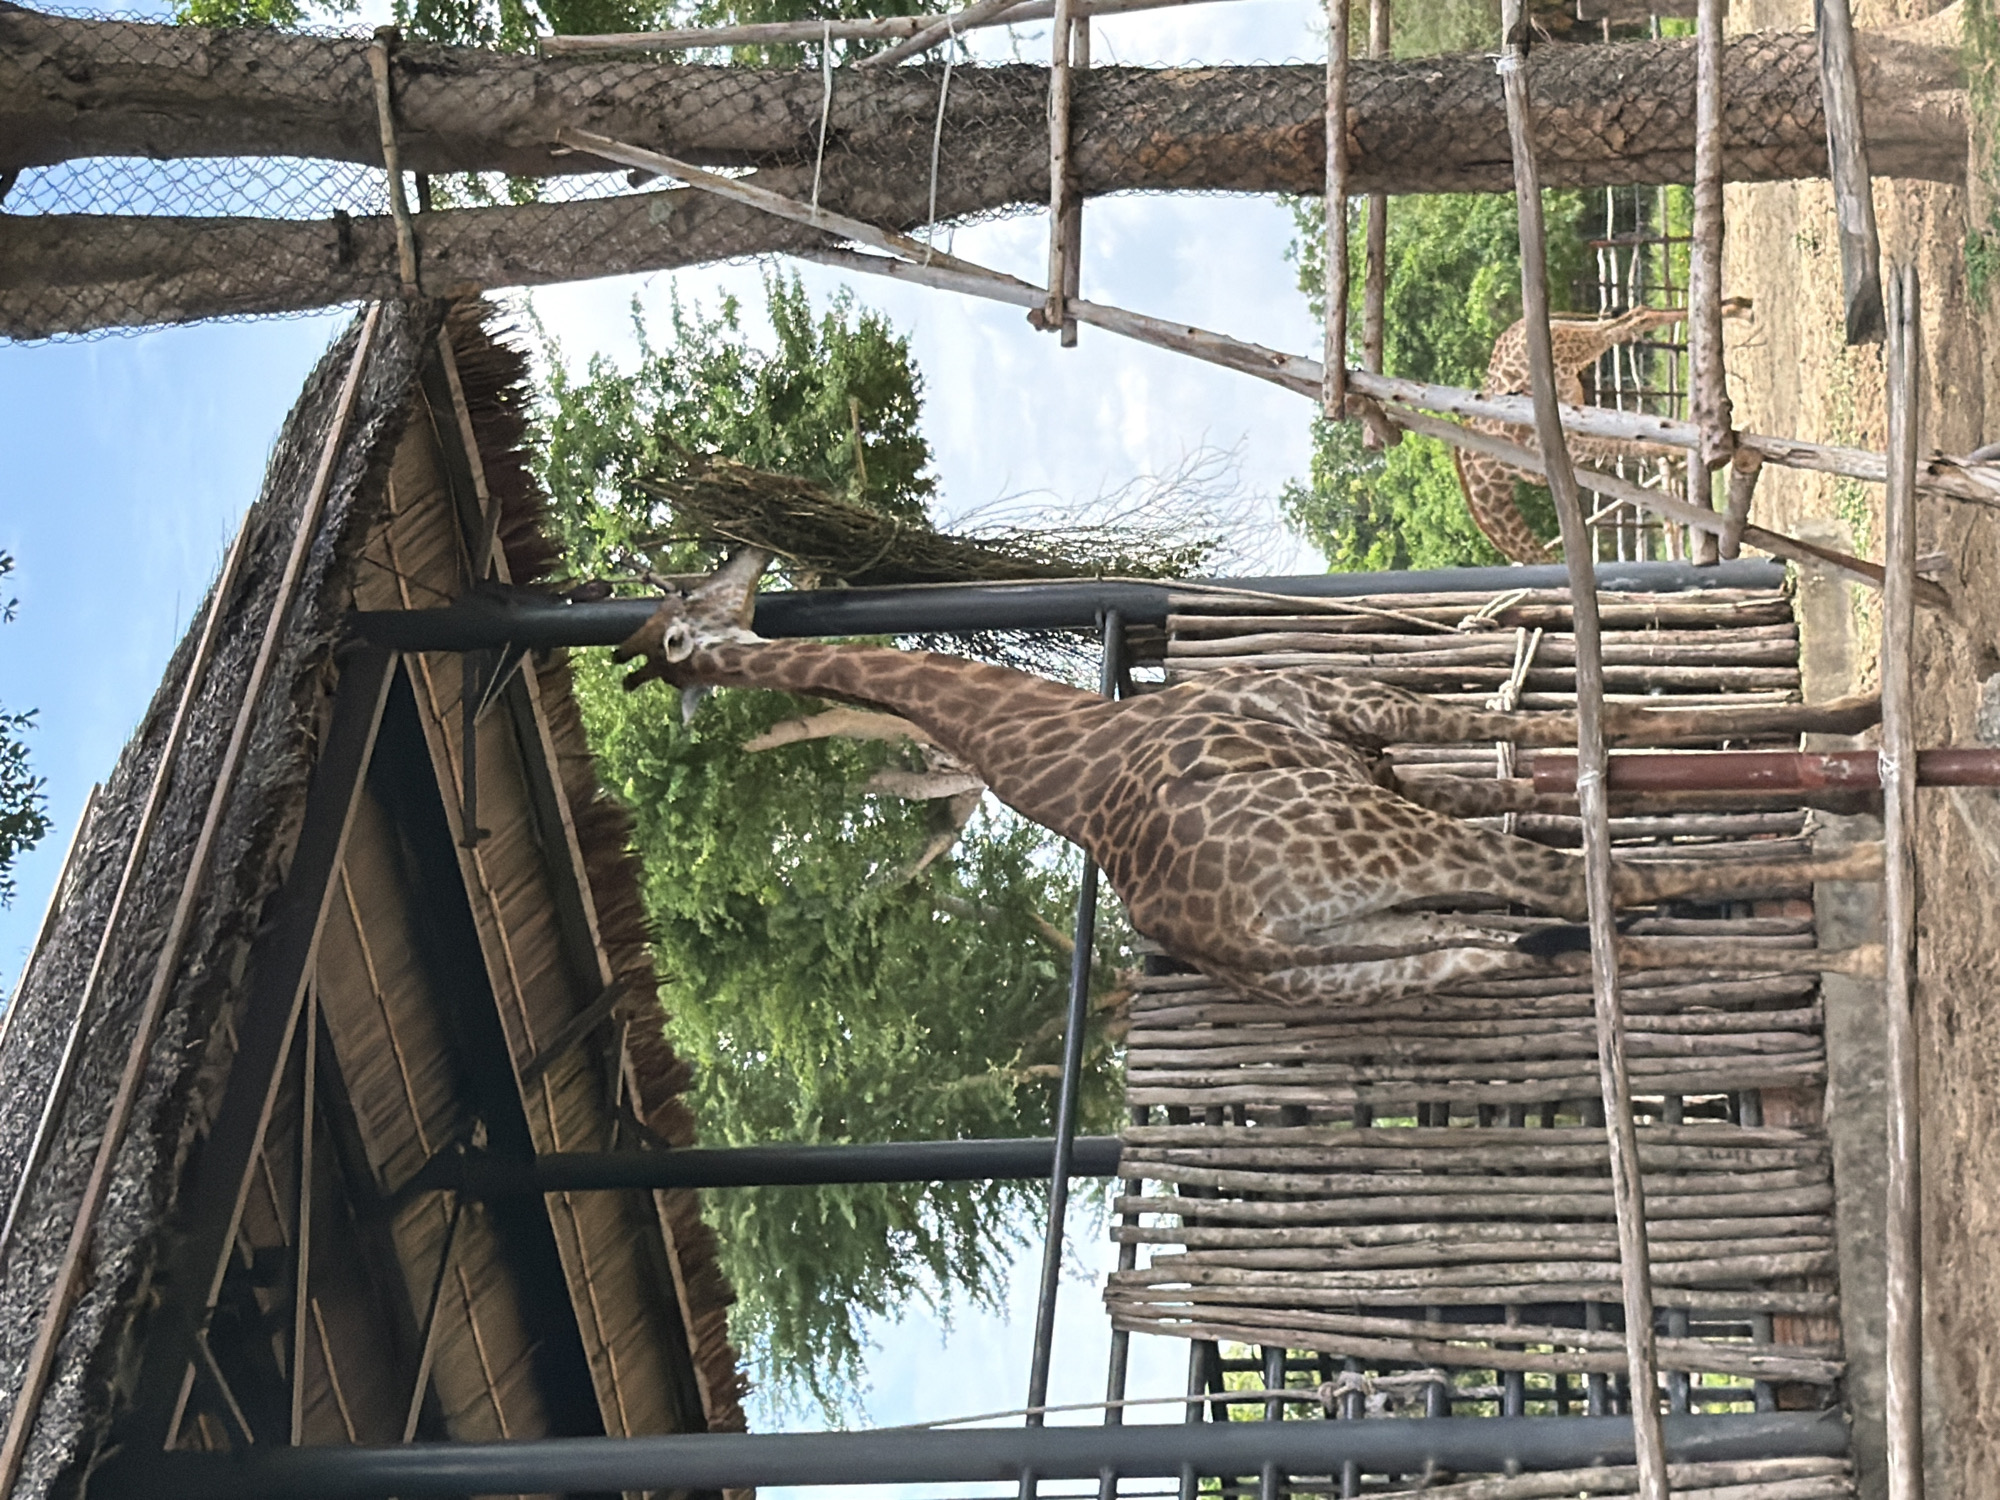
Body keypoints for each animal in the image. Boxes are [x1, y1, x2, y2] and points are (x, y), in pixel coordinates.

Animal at [615, 550, 1882, 1004]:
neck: (1066, 751)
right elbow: (1599, 736)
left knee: (1527, 937)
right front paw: (1866, 753)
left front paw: (1855, 731)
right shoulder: (1358, 720)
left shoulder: (1383, 758)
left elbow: (1601, 744)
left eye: (682, 603)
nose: (750, 563)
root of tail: (1233, 939)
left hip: (1364, 954)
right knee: (1583, 892)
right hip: (1382, 857)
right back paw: (1862, 901)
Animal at [1455, 304, 1723, 564]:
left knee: (1631, 322)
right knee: (1631, 316)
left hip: (1575, 348)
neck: (1494, 471)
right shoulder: (1574, 441)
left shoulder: (1570, 444)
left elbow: (1634, 443)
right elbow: (1631, 443)